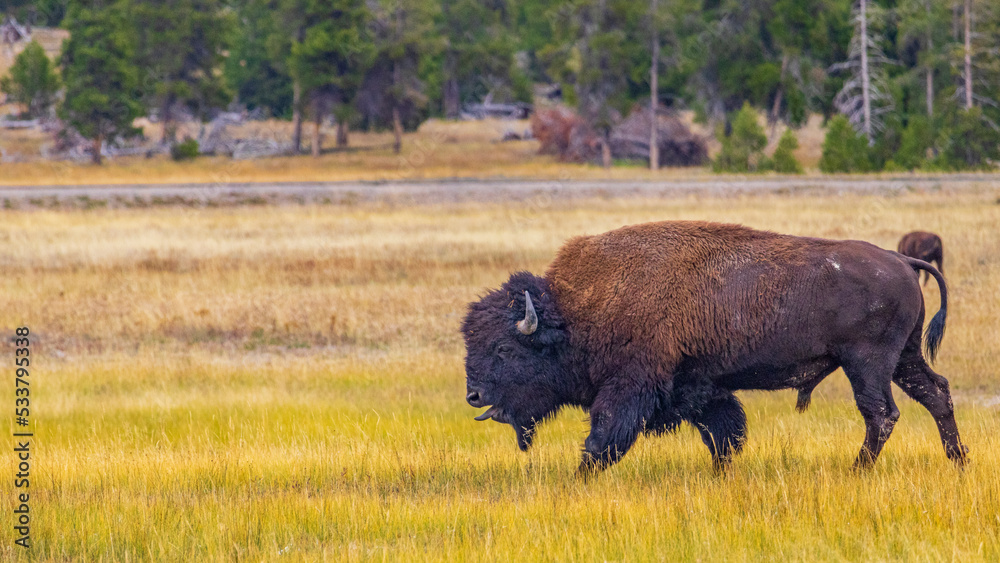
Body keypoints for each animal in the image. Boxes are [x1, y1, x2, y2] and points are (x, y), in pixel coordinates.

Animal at [464, 220, 964, 476]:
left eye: (504, 350)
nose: (473, 394)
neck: (577, 311)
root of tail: (902, 259)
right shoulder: (700, 385)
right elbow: (723, 433)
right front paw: (722, 474)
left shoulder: (629, 387)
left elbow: (603, 437)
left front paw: (580, 477)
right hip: (903, 358)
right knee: (936, 393)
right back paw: (959, 462)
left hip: (867, 363)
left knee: (881, 413)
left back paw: (857, 470)